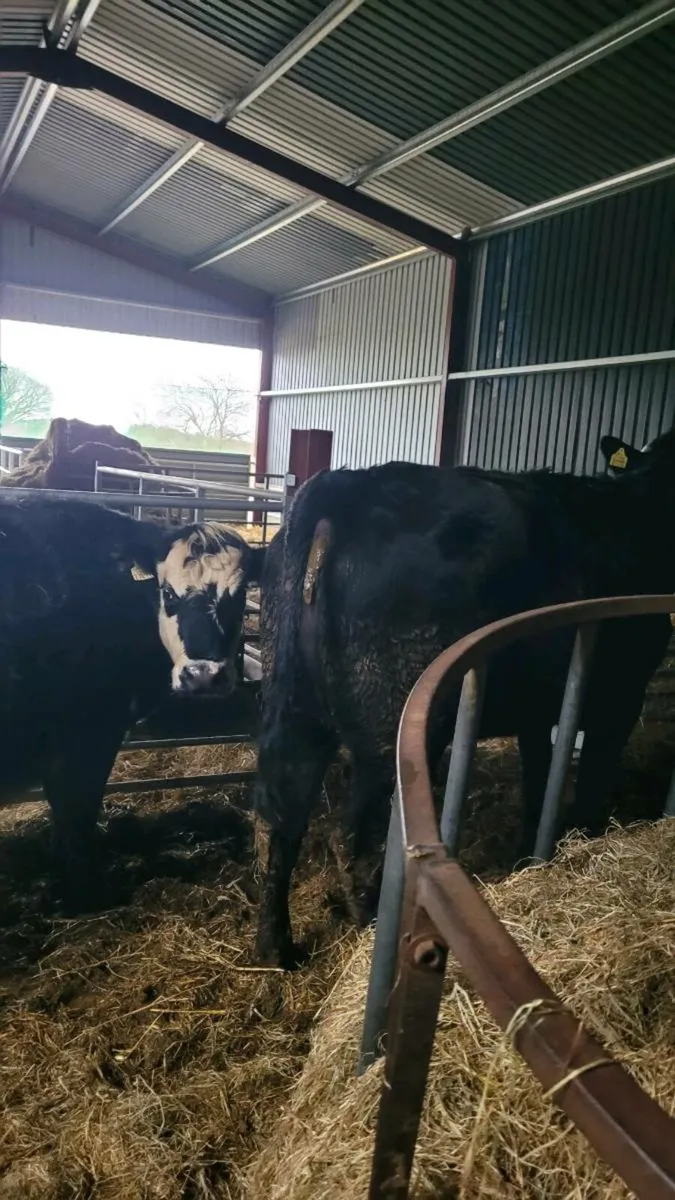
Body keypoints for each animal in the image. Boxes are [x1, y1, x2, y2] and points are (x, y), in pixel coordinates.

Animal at [0, 495, 261, 911]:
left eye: (237, 600)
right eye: (168, 594)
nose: (203, 674)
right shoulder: (86, 736)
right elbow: (75, 812)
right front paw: (84, 894)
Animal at [249, 429, 675, 965]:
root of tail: (343, 487)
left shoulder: (541, 706)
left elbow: (540, 774)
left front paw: (532, 853)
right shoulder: (620, 692)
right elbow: (593, 776)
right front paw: (584, 837)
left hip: (294, 707)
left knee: (281, 818)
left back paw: (276, 946)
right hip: (391, 727)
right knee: (357, 835)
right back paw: (368, 924)